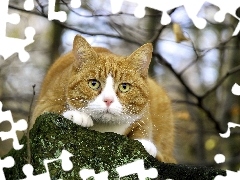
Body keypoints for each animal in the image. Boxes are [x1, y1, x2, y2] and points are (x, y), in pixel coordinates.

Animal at [31, 34, 175, 163]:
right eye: (93, 84)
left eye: (124, 87)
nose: (108, 100)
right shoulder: (43, 106)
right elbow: (53, 109)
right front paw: (78, 115)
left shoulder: (144, 114)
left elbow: (145, 126)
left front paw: (145, 143)